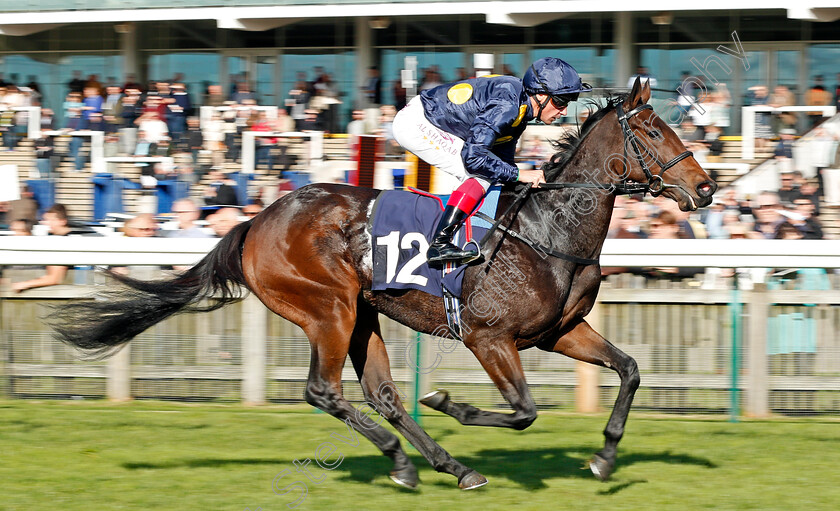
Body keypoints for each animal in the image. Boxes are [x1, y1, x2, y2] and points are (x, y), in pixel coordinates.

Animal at [49, 80, 716, 492]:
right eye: (652, 132)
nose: (707, 188)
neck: (547, 231)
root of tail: (255, 221)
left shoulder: (559, 331)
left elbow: (629, 369)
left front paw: (604, 458)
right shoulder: (488, 337)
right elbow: (524, 410)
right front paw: (452, 402)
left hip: (363, 313)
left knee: (383, 395)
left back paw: (445, 466)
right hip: (328, 309)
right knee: (324, 391)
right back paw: (408, 460)